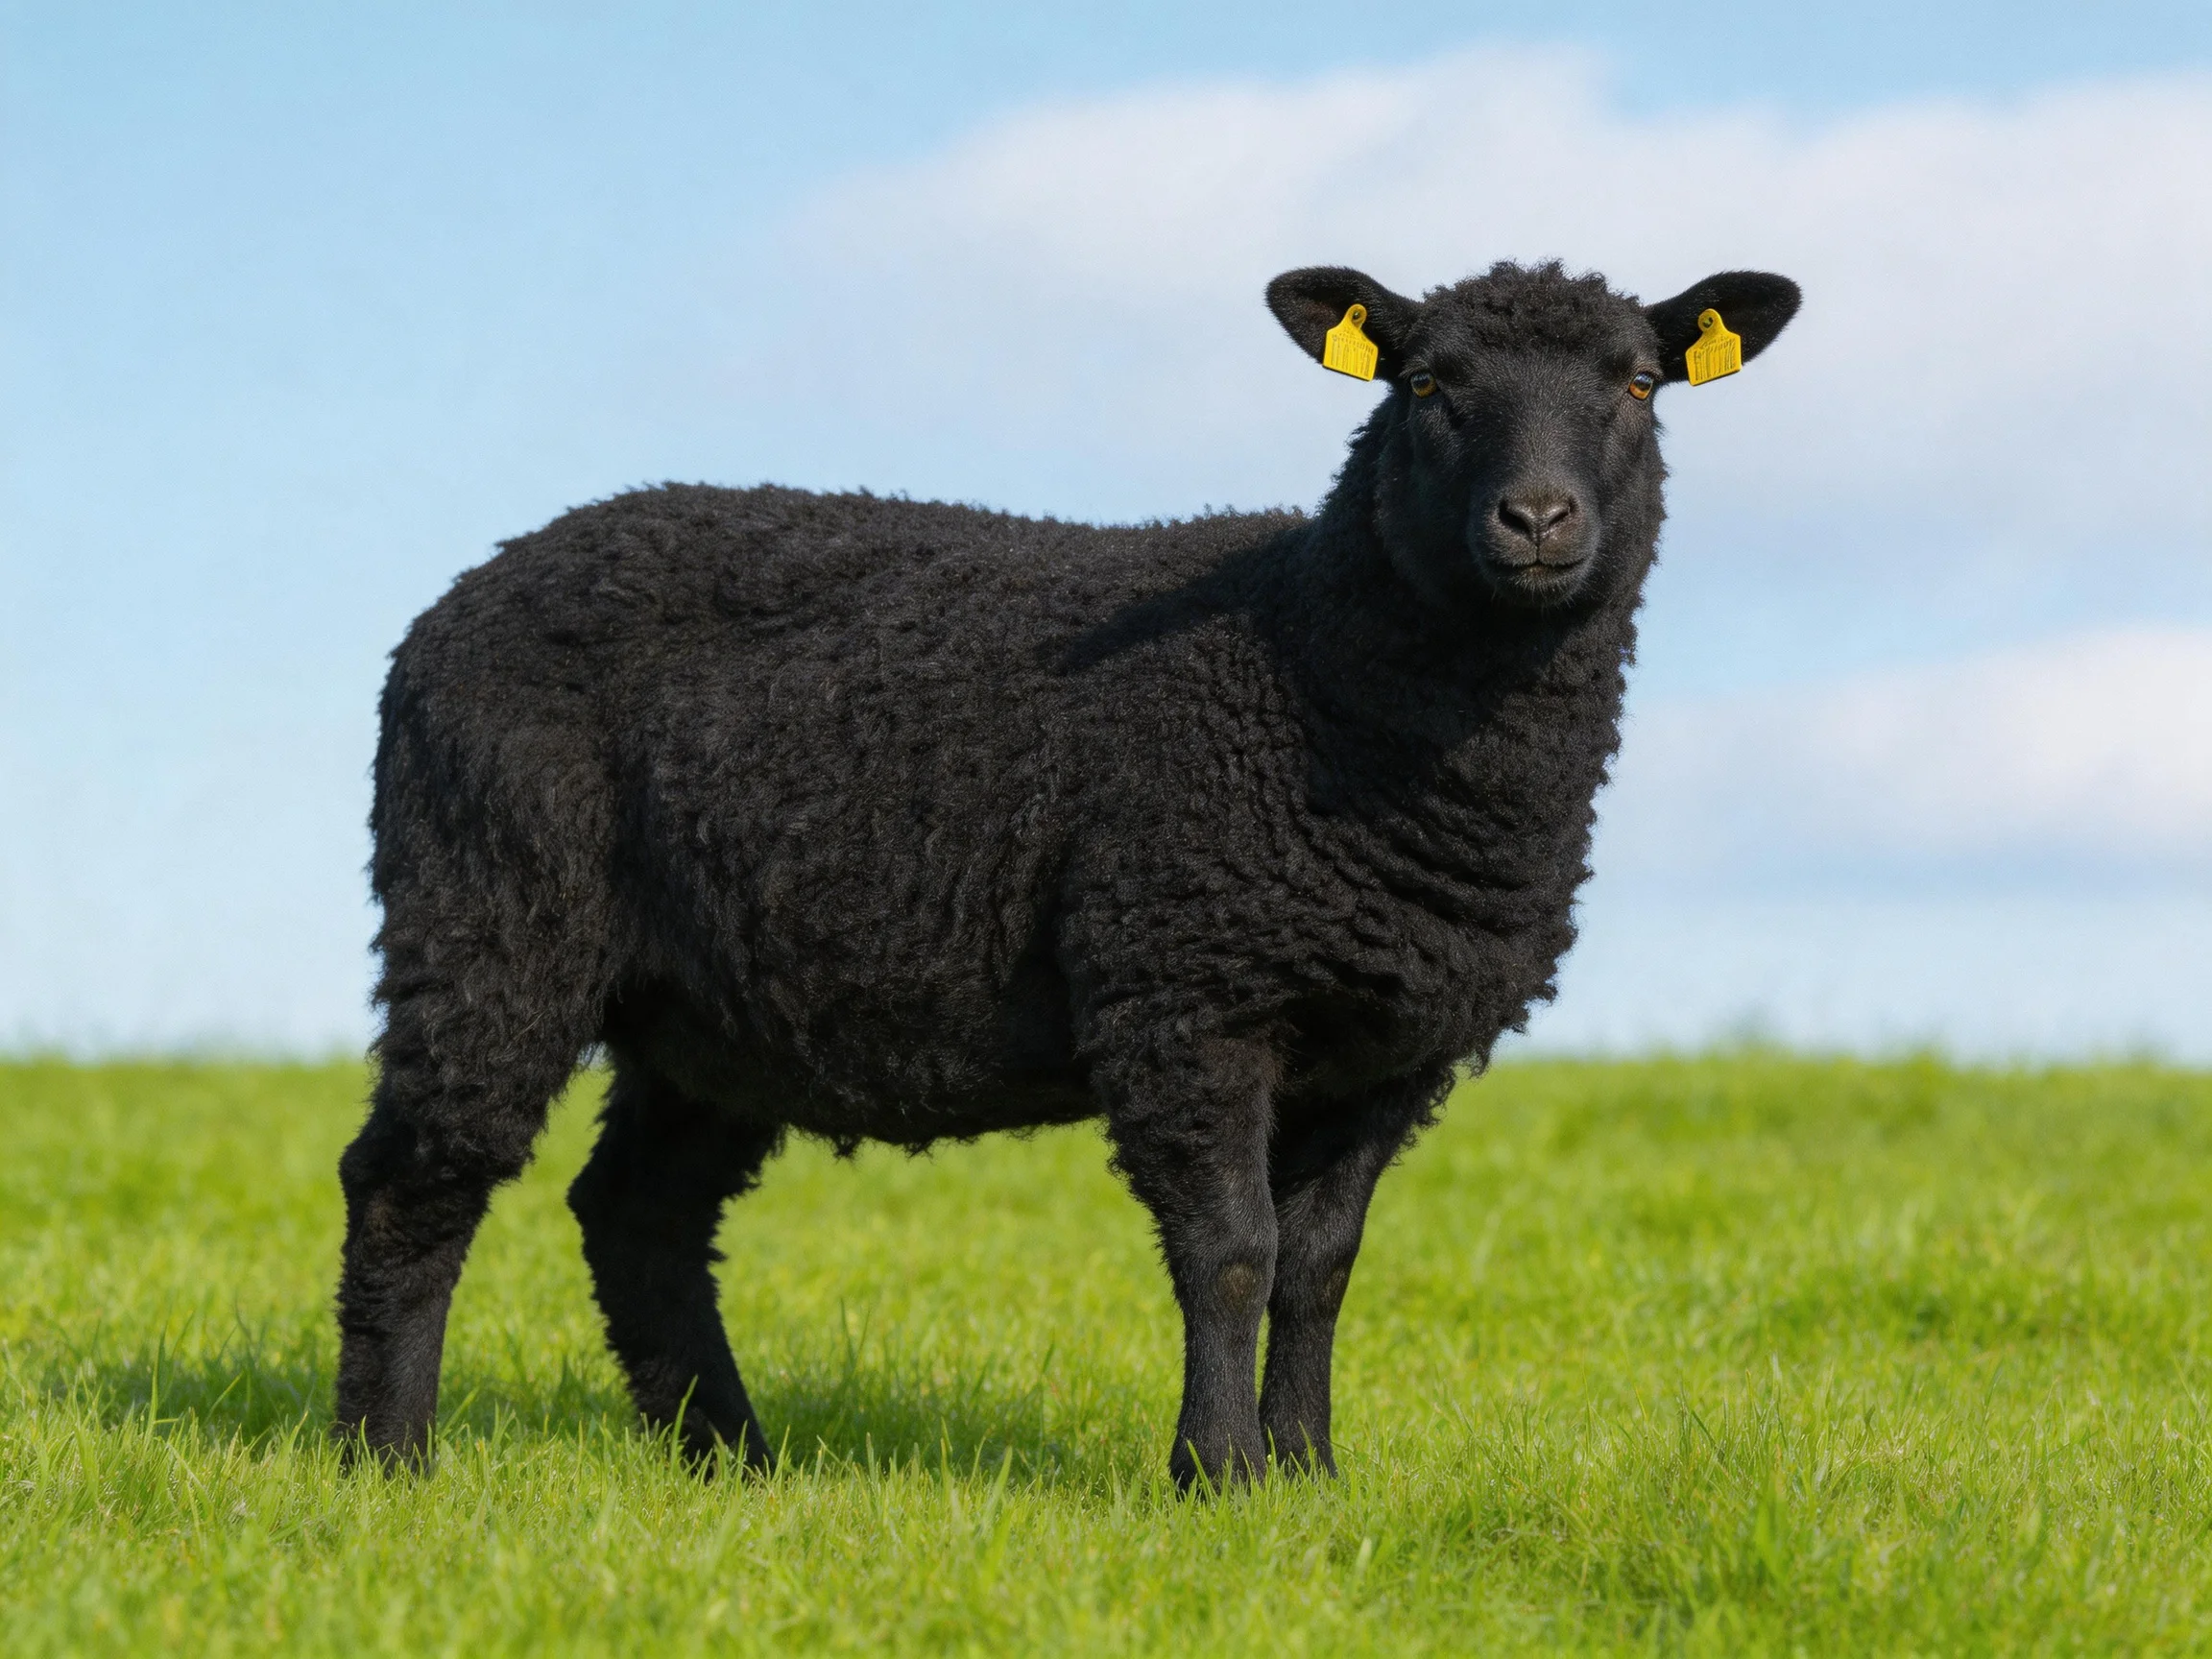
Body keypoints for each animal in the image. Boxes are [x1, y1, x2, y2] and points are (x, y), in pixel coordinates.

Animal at [334, 259, 1800, 1487]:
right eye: (1427, 383)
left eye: (1638, 382)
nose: (1537, 519)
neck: (1315, 668)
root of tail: (459, 598)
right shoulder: (1185, 991)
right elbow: (1232, 1254)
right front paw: (1217, 1478)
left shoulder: (1392, 1044)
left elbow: (1320, 1268)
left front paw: (1312, 1476)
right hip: (490, 908)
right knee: (414, 1178)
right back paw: (387, 1460)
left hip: (710, 1009)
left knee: (637, 1215)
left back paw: (732, 1461)